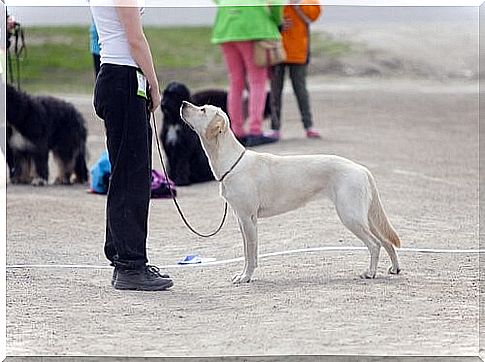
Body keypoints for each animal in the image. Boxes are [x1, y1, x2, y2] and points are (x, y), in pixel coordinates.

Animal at [180, 101, 398, 282]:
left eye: (202, 110)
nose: (183, 103)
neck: (232, 161)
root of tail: (362, 168)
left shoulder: (247, 218)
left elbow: (250, 252)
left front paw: (246, 277)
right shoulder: (243, 219)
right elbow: (249, 253)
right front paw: (244, 274)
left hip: (350, 216)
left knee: (375, 244)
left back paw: (370, 273)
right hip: (365, 217)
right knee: (386, 241)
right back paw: (395, 269)